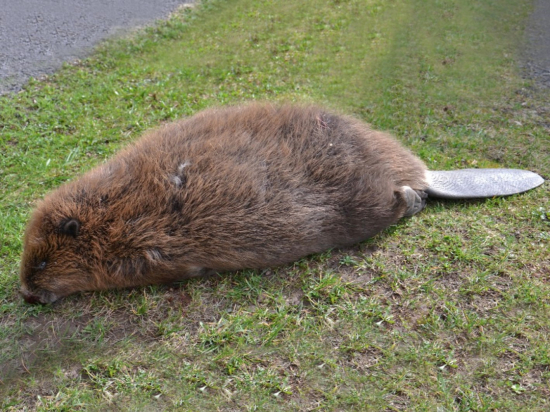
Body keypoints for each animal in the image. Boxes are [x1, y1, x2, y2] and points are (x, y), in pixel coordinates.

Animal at [18, 102, 544, 302]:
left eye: (41, 263)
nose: (26, 292)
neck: (115, 208)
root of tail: (428, 174)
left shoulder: (146, 242)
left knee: (394, 203)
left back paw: (411, 197)